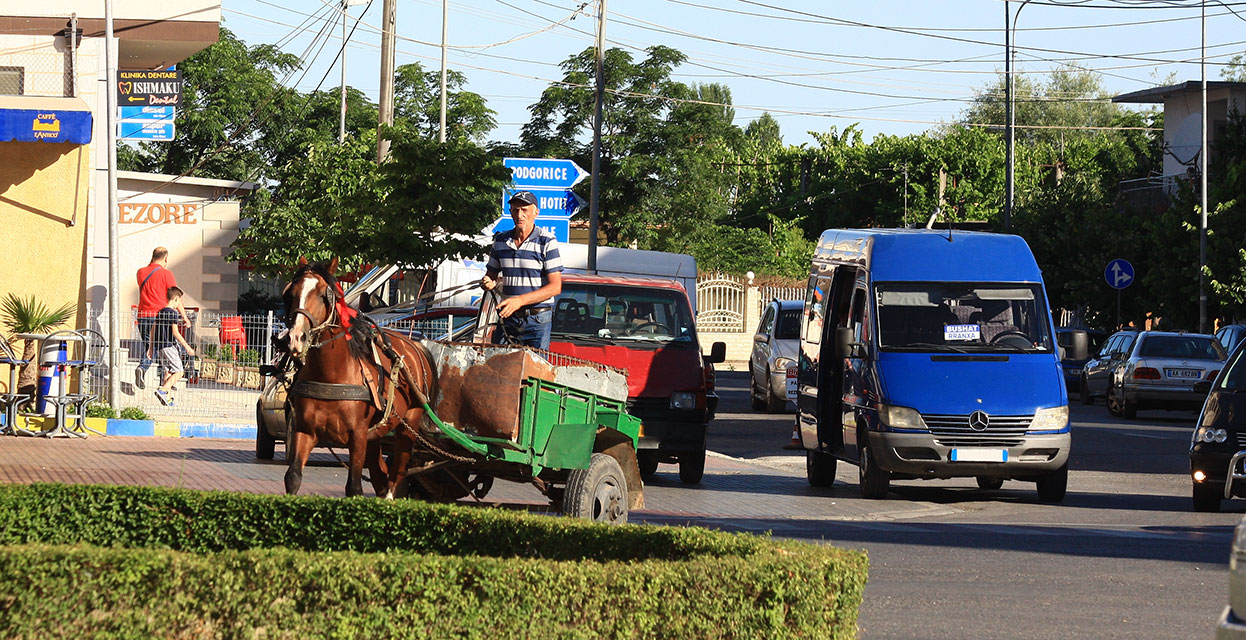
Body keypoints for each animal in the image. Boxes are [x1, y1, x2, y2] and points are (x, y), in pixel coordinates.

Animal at [280, 256, 441, 495]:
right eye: (291, 292)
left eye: (324, 294)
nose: (296, 338)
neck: (332, 374)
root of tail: (416, 345)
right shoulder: (305, 431)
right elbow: (293, 477)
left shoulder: (357, 436)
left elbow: (354, 487)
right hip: (376, 436)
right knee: (381, 475)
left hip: (407, 428)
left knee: (396, 475)